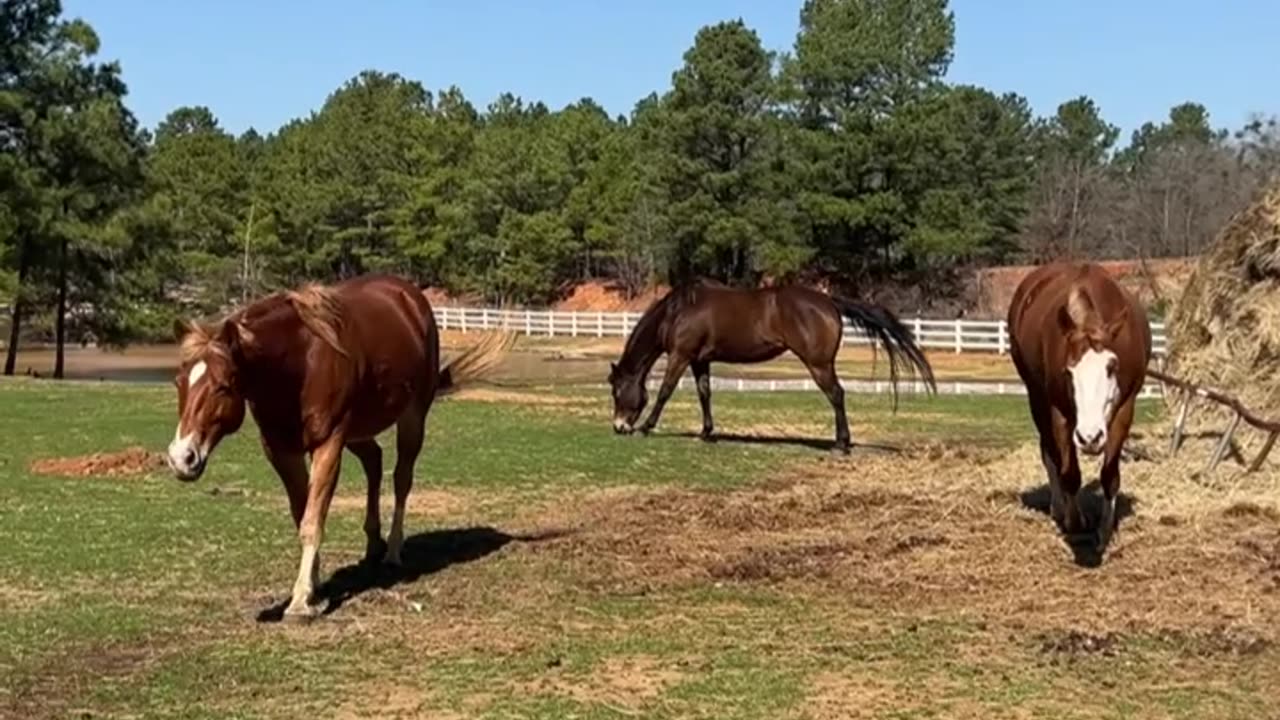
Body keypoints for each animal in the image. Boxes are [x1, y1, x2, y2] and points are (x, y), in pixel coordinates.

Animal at [166, 271, 514, 620]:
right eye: (179, 381)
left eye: (223, 386)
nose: (182, 457)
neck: (301, 361)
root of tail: (412, 298)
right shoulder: (281, 451)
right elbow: (303, 514)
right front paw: (315, 587)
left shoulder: (329, 444)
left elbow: (312, 520)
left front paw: (300, 601)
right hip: (358, 434)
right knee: (374, 461)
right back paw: (373, 543)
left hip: (412, 418)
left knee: (401, 479)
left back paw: (392, 551)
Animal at [604, 279, 936, 450]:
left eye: (617, 392)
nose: (619, 426)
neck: (680, 310)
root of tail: (829, 302)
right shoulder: (700, 360)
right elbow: (704, 394)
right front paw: (707, 432)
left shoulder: (681, 356)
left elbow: (665, 391)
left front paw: (646, 427)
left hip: (819, 365)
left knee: (837, 395)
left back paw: (841, 443)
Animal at [1003, 260, 1157, 545]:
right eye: (1069, 372)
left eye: (1111, 367)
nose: (1090, 437)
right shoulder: (1059, 412)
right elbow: (1069, 472)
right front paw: (1074, 521)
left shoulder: (1125, 409)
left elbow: (1110, 474)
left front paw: (1105, 529)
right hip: (1036, 396)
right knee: (1050, 453)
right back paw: (1058, 507)